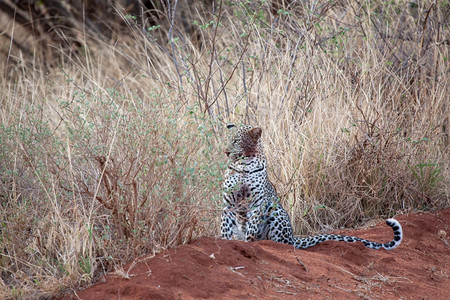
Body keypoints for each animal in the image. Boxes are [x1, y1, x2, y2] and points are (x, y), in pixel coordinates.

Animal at [220, 124, 402, 251]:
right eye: (227, 140)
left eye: (236, 141)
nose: (226, 152)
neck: (243, 165)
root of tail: (293, 236)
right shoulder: (228, 204)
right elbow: (224, 228)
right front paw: (225, 242)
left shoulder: (257, 203)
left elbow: (251, 229)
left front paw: (248, 243)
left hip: (276, 211)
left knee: (283, 243)